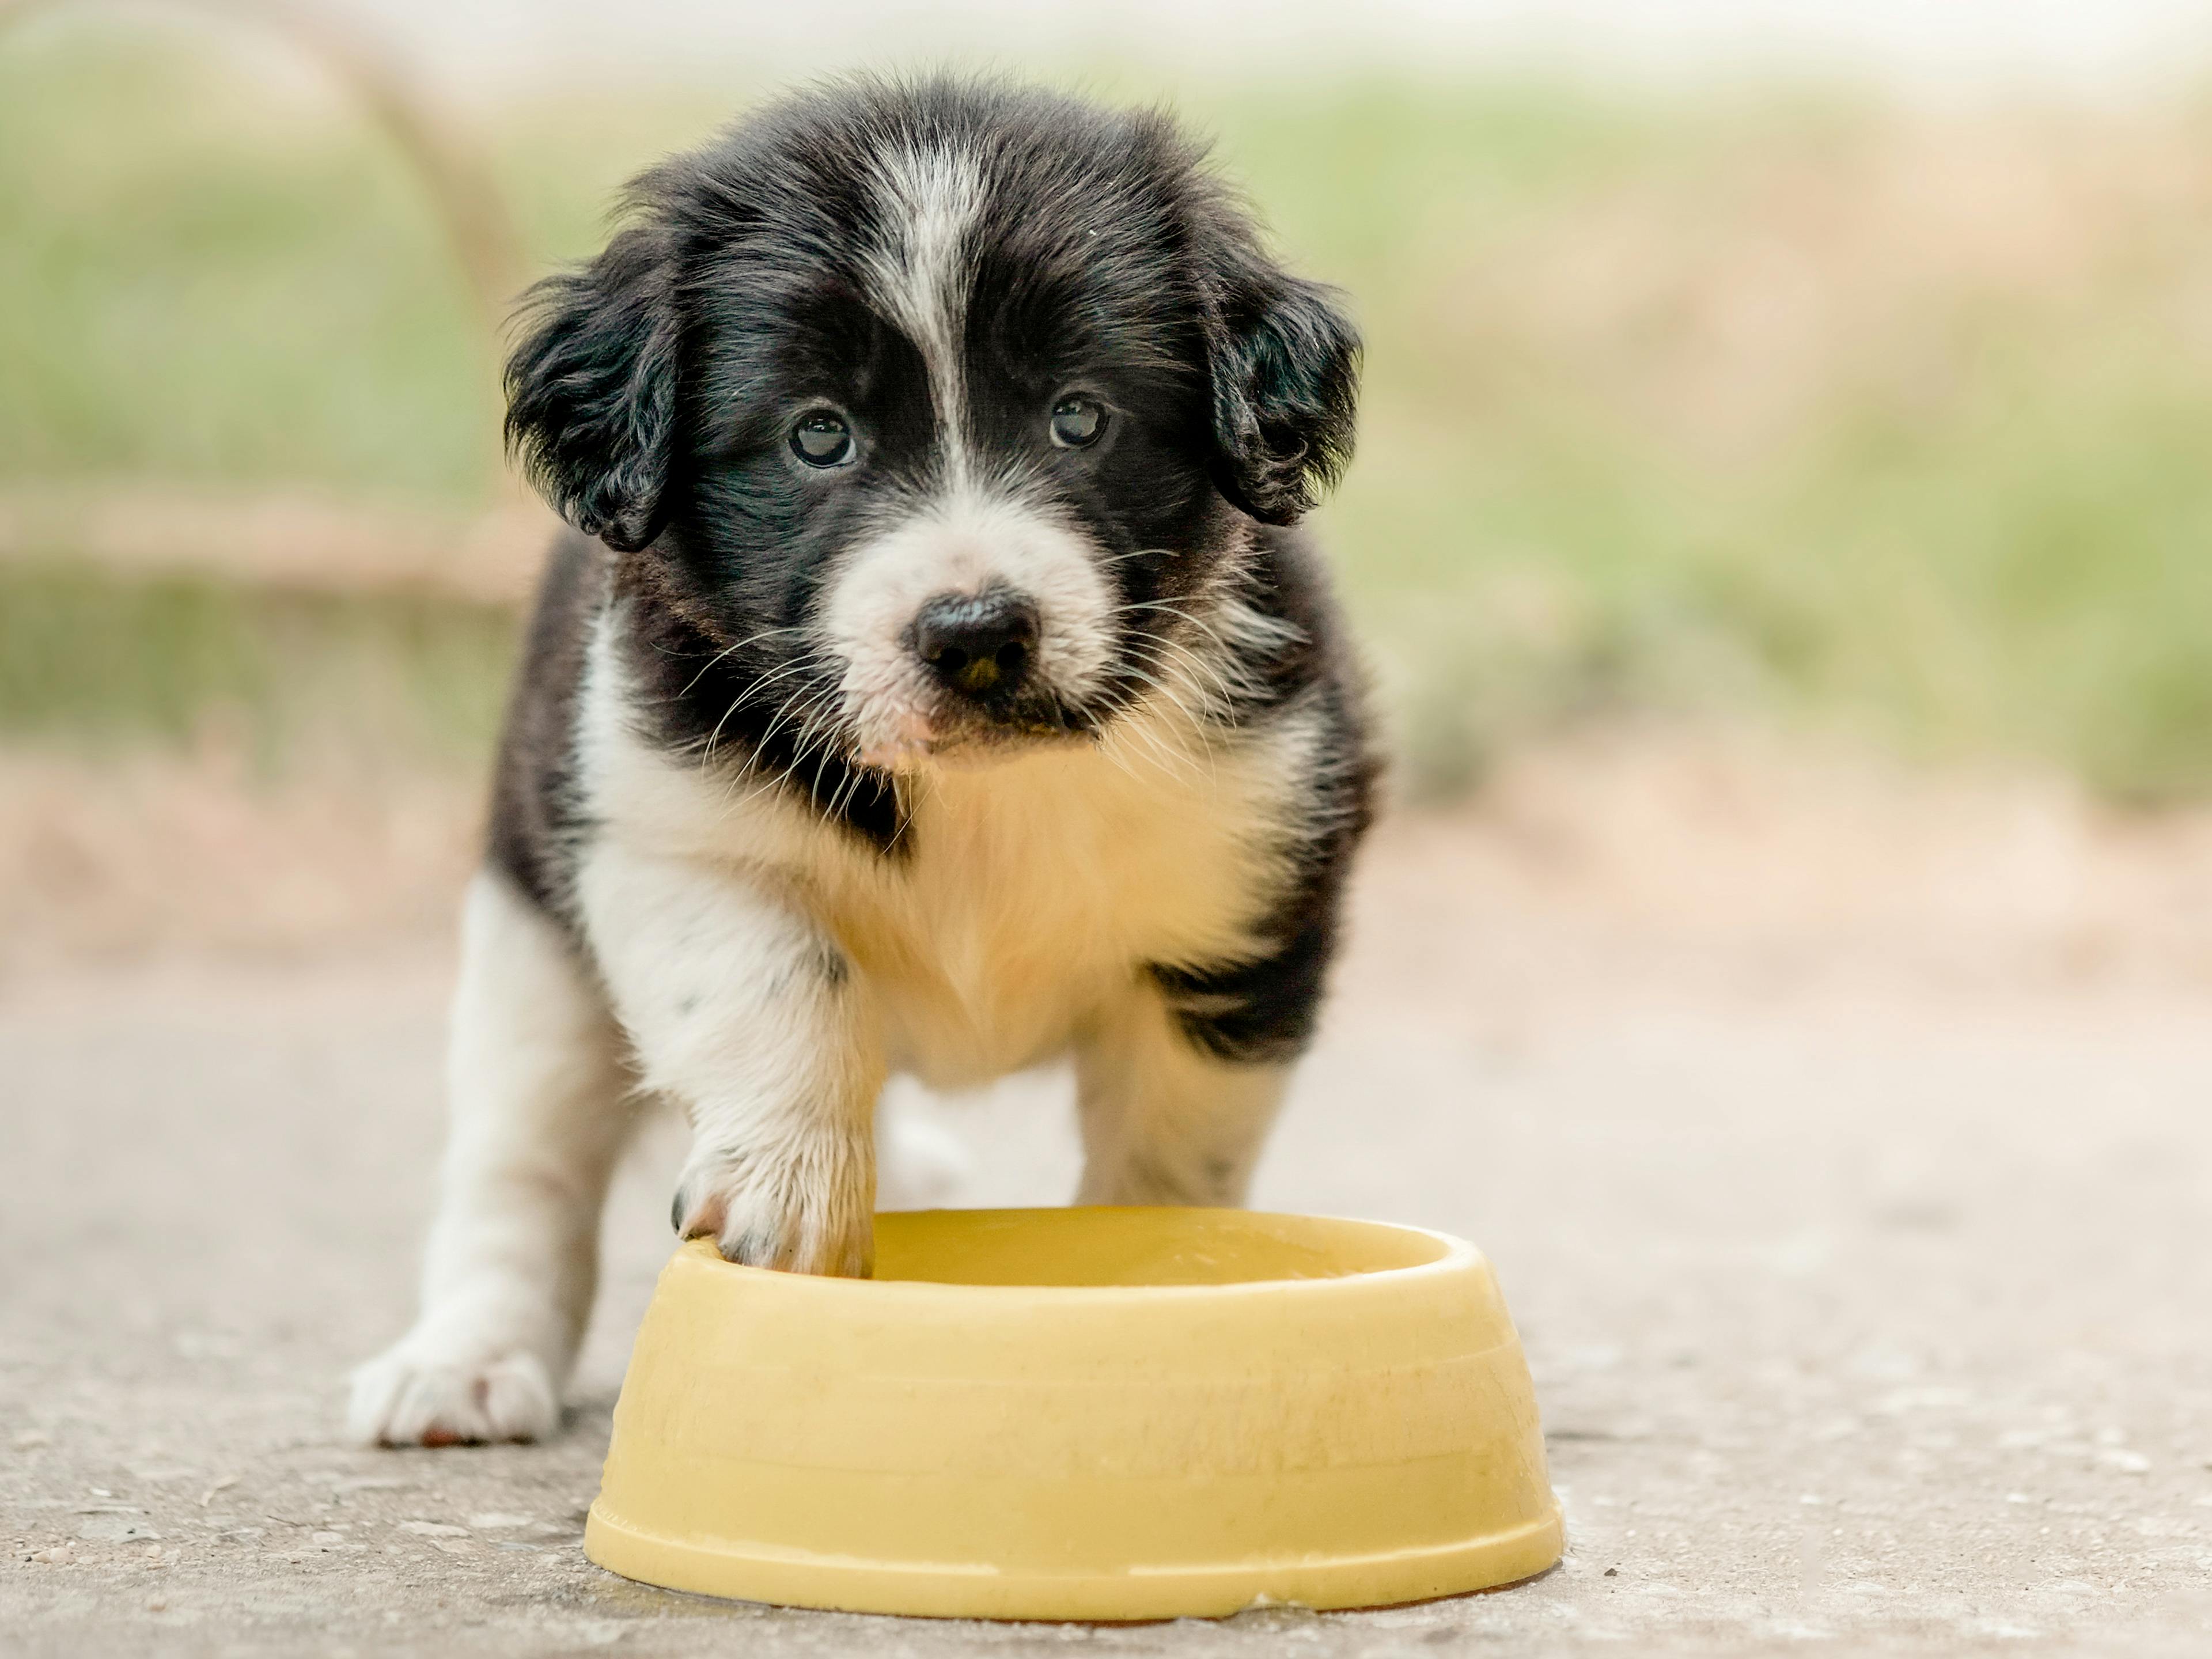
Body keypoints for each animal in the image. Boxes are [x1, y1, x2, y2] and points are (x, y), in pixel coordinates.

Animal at [349, 71, 1362, 1451]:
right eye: (818, 437)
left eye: (1080, 418)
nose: (977, 634)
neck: (980, 792)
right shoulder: (658, 822)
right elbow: (778, 983)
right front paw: (794, 1188)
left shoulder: (1249, 886)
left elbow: (1169, 1155)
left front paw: (1153, 1291)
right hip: (527, 940)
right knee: (520, 1166)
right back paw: (464, 1359)